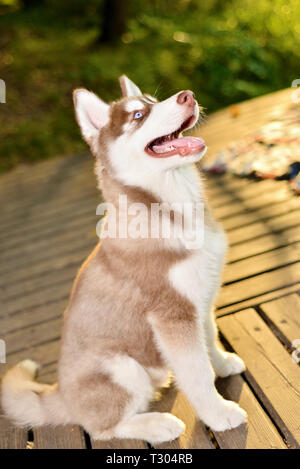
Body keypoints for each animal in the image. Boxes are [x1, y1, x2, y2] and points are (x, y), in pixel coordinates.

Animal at [1, 77, 246, 442]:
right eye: (138, 115)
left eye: (153, 102)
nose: (187, 96)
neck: (174, 209)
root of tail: (60, 394)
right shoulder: (172, 315)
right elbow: (198, 374)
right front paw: (219, 414)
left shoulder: (198, 302)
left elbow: (210, 339)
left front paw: (223, 363)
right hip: (120, 368)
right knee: (102, 427)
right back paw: (159, 425)